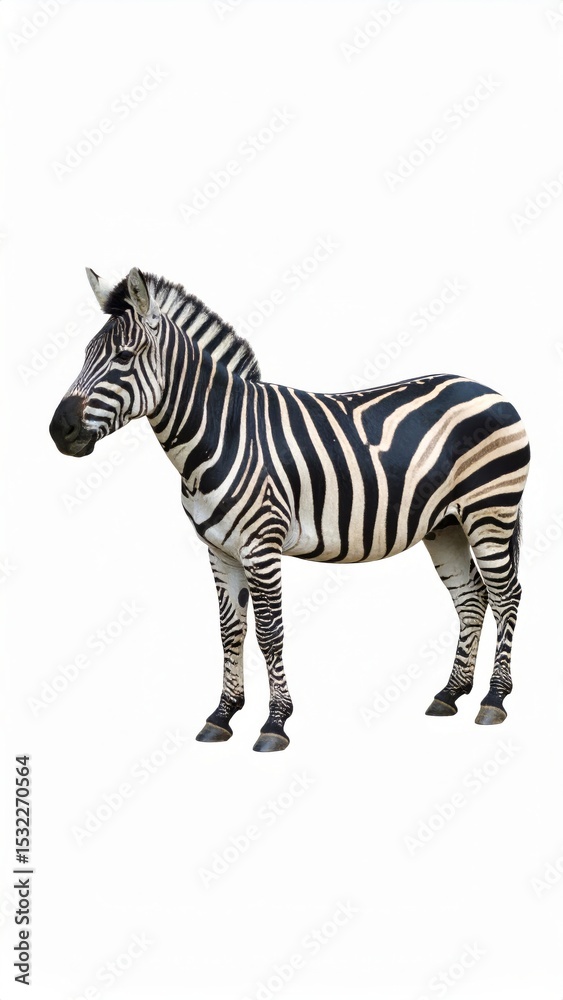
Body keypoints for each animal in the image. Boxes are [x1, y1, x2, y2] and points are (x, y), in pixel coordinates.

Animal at [49, 267, 530, 752]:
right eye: (86, 354)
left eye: (124, 357)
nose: (59, 430)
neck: (222, 432)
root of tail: (491, 391)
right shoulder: (219, 550)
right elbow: (230, 631)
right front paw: (222, 715)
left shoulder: (261, 544)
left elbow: (268, 632)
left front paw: (275, 722)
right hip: (445, 524)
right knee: (471, 597)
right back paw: (451, 693)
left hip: (490, 511)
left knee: (506, 594)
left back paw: (494, 699)